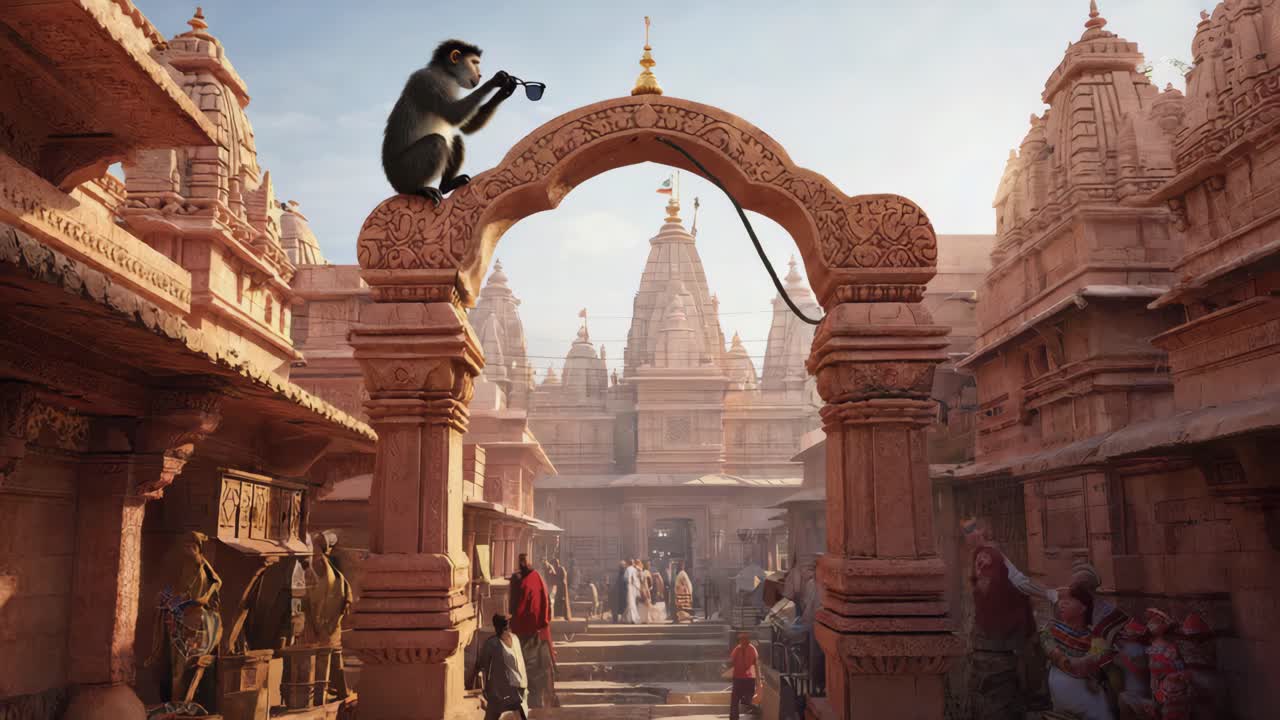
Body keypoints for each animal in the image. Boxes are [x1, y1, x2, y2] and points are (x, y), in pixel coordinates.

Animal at [381, 40, 518, 205]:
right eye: (474, 63)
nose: (480, 74)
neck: (446, 74)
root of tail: (391, 179)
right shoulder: (426, 81)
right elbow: (453, 115)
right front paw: (495, 81)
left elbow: (464, 127)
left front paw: (505, 91)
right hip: (403, 170)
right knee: (437, 141)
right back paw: (416, 189)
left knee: (455, 138)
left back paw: (446, 185)